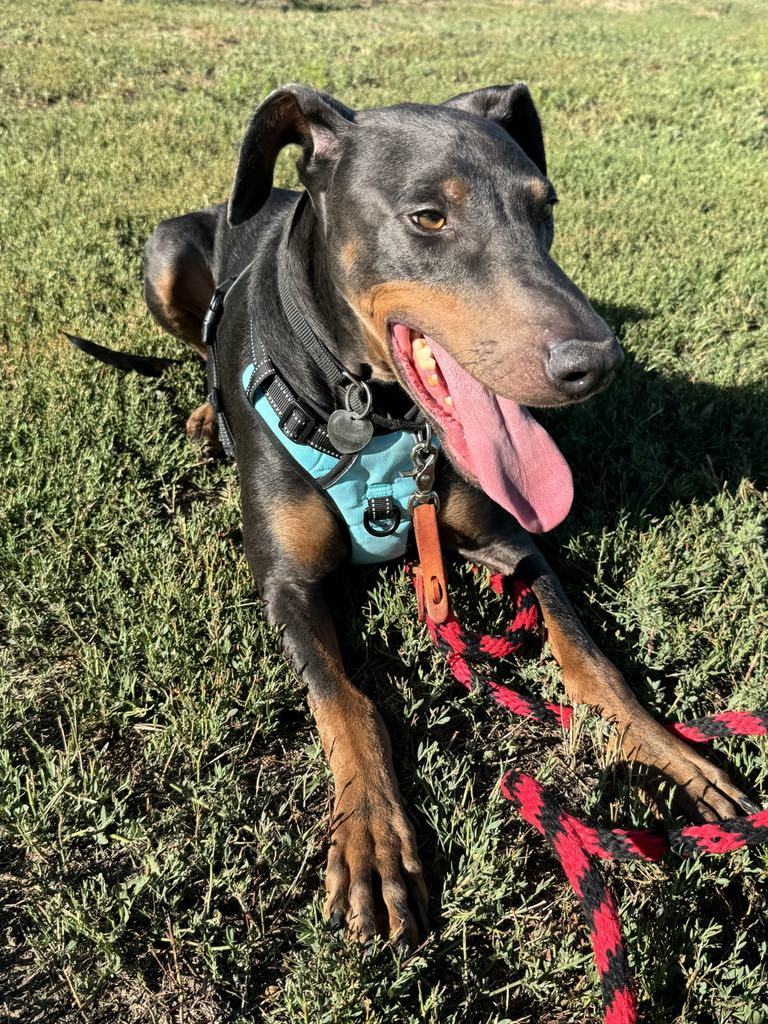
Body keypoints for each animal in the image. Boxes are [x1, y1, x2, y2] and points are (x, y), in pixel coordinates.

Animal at [126, 86, 753, 950]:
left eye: (544, 209)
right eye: (428, 217)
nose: (594, 363)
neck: (374, 414)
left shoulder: (515, 541)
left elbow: (590, 656)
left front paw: (670, 754)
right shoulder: (288, 584)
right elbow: (347, 703)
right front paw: (371, 837)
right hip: (163, 255)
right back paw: (202, 415)